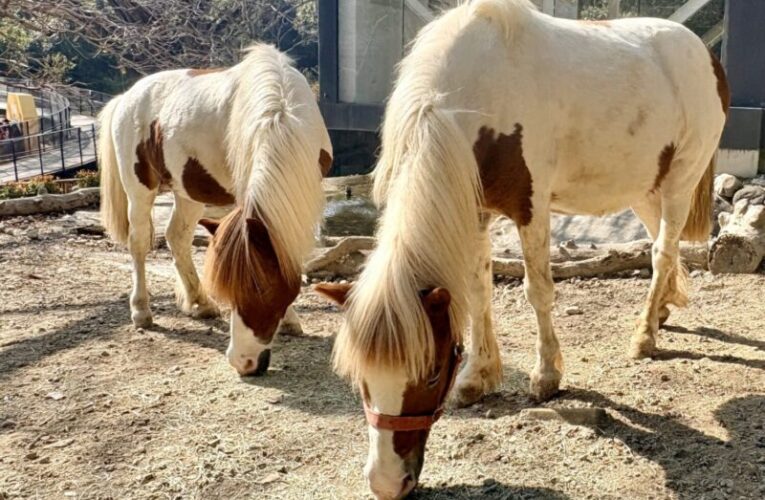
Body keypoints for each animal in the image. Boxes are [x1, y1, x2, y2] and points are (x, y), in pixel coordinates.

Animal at [99, 44, 332, 376]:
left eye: (261, 290)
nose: (243, 363)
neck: (280, 115)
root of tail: (125, 97)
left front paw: (289, 321)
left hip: (187, 191)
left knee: (178, 237)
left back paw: (200, 303)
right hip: (139, 189)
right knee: (139, 243)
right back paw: (142, 311)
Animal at [315, 0, 729, 497]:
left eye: (430, 372)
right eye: (360, 377)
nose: (387, 483)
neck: (470, 97)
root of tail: (703, 53)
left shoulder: (531, 209)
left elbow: (538, 292)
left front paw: (546, 375)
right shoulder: (474, 210)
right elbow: (478, 293)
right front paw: (478, 376)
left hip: (679, 182)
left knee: (663, 251)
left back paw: (644, 335)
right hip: (645, 187)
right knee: (659, 250)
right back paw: (664, 307)